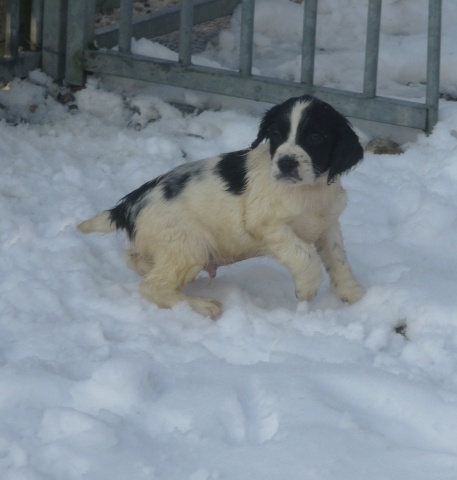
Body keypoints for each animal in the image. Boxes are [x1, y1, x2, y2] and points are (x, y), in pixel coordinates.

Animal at [77, 94, 364, 318]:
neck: (310, 189)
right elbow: (305, 256)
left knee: (136, 261)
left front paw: (354, 295)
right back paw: (201, 306)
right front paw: (306, 288)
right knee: (153, 286)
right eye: (275, 135)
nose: (285, 163)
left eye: (315, 136)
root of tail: (128, 206)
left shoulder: (328, 225)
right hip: (190, 247)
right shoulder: (267, 225)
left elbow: (338, 260)